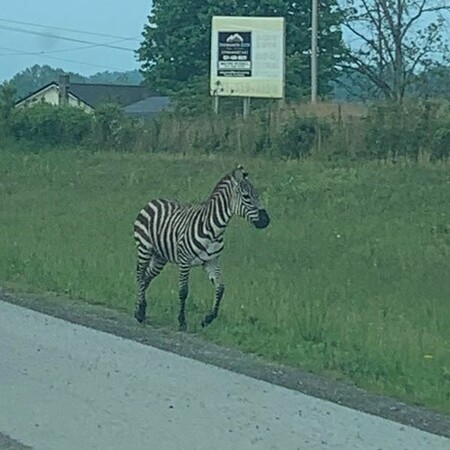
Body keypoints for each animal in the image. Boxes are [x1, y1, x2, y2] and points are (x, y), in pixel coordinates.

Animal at [132, 165, 268, 330]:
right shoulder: (185, 261)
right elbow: (183, 291)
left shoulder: (211, 261)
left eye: (257, 195)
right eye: (247, 197)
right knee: (140, 275)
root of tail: (154, 200)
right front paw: (182, 321)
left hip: (159, 257)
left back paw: (140, 309)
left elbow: (220, 288)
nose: (266, 221)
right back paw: (140, 312)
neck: (214, 229)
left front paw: (208, 319)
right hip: (144, 248)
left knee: (146, 277)